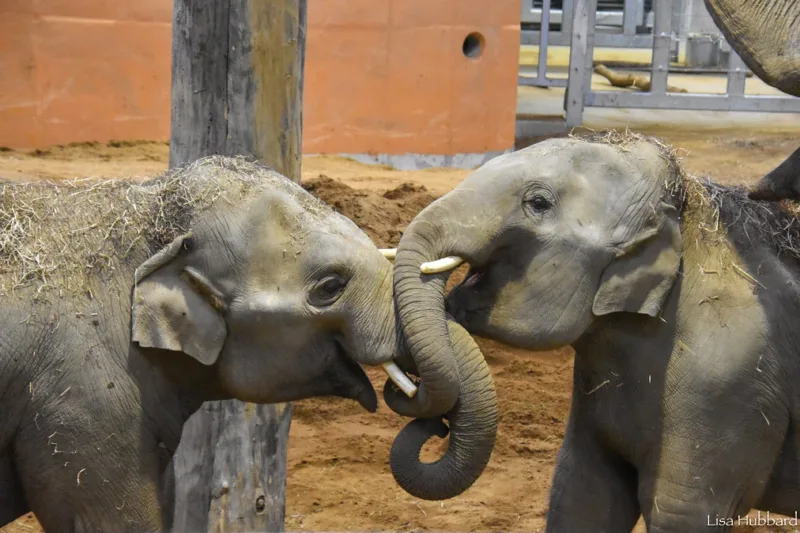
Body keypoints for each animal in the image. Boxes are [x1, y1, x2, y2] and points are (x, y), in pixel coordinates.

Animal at [389, 131, 800, 532]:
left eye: (538, 203)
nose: (438, 426)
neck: (687, 211)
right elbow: (583, 496)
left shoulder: (727, 385)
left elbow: (682, 513)